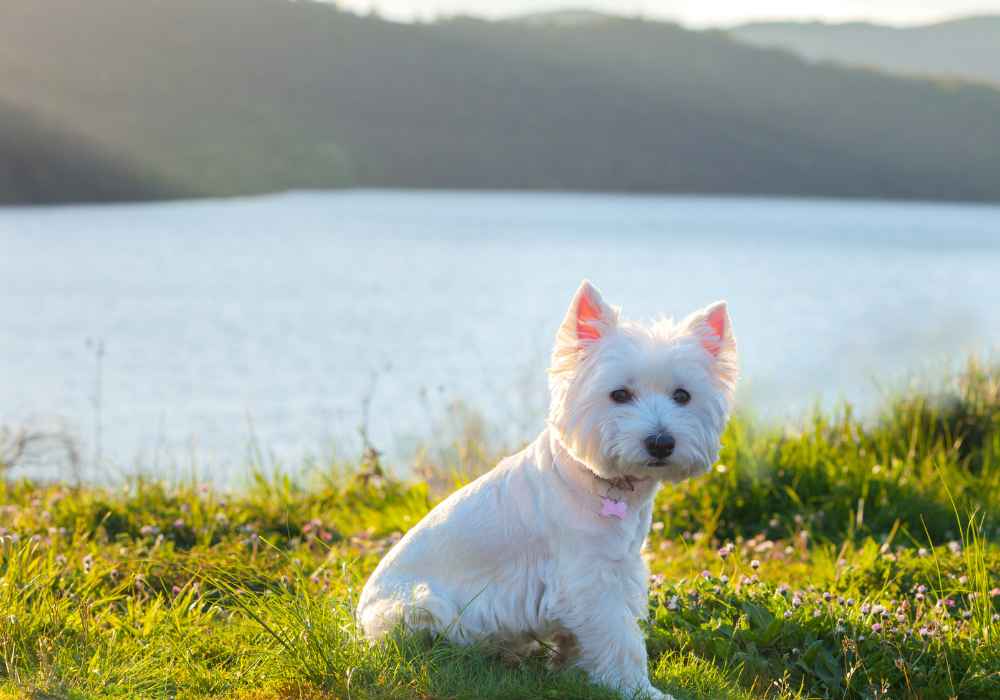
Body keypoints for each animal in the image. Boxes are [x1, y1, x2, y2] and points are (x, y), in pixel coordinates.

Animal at [358, 282, 736, 696]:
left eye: (682, 395)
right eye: (619, 394)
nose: (661, 443)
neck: (602, 485)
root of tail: (359, 617)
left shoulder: (613, 570)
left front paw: (573, 671)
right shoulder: (590, 576)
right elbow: (620, 639)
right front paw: (638, 690)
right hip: (417, 606)